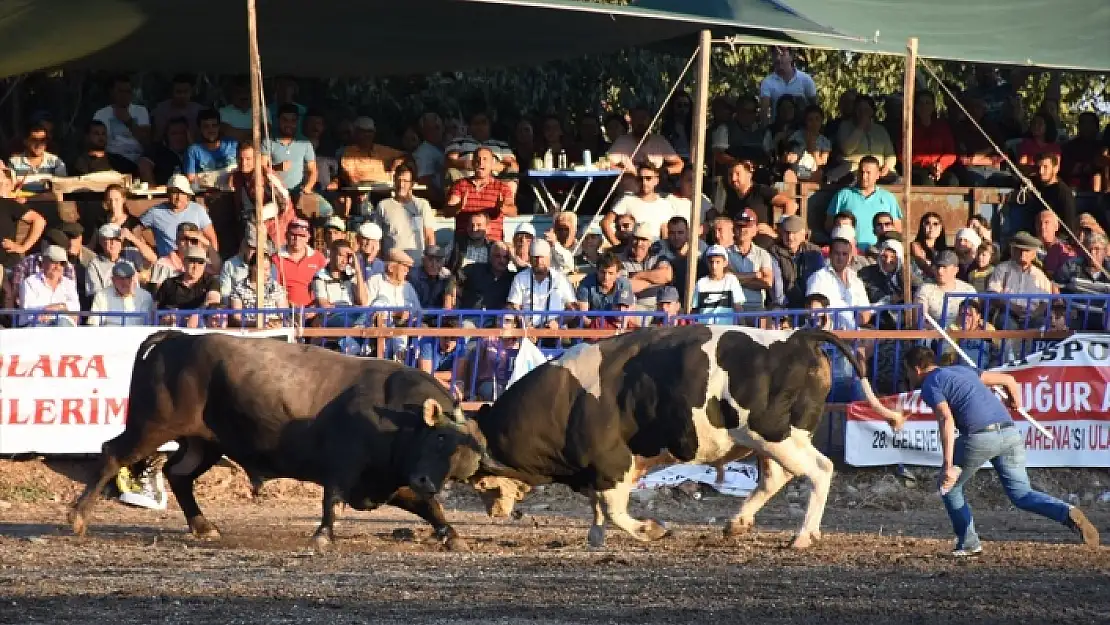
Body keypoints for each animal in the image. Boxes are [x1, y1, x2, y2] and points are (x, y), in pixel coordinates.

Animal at [69, 330, 503, 550]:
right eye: (440, 437)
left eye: (463, 464)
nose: (428, 480)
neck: (395, 416)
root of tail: (176, 338)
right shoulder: (344, 468)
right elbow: (332, 501)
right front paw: (323, 537)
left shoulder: (390, 481)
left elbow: (429, 507)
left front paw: (452, 535)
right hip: (152, 427)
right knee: (112, 455)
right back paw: (78, 518)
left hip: (203, 443)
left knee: (179, 476)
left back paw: (203, 526)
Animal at [468, 326, 901, 550]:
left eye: (483, 482)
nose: (494, 512)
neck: (568, 400)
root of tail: (798, 337)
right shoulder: (595, 470)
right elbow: (598, 509)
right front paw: (596, 536)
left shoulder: (612, 463)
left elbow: (614, 510)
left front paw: (651, 529)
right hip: (769, 442)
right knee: (776, 478)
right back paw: (737, 523)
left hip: (775, 434)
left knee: (820, 470)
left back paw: (803, 536)